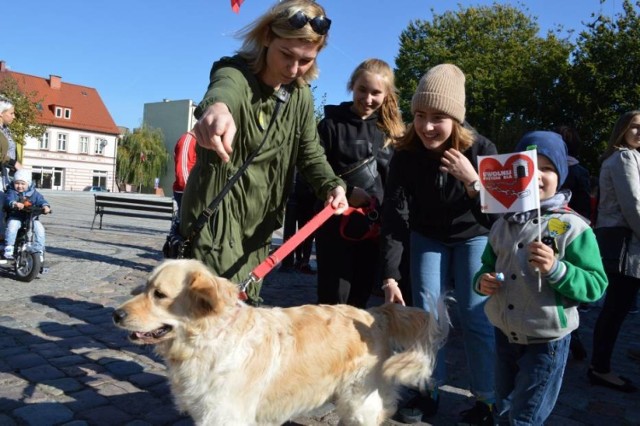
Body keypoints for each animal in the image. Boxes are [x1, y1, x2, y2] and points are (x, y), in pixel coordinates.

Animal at [111, 258, 450, 424]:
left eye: (159, 294)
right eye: (144, 288)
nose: (116, 314)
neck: (210, 338)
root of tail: (374, 312)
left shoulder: (225, 416)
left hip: (361, 402)